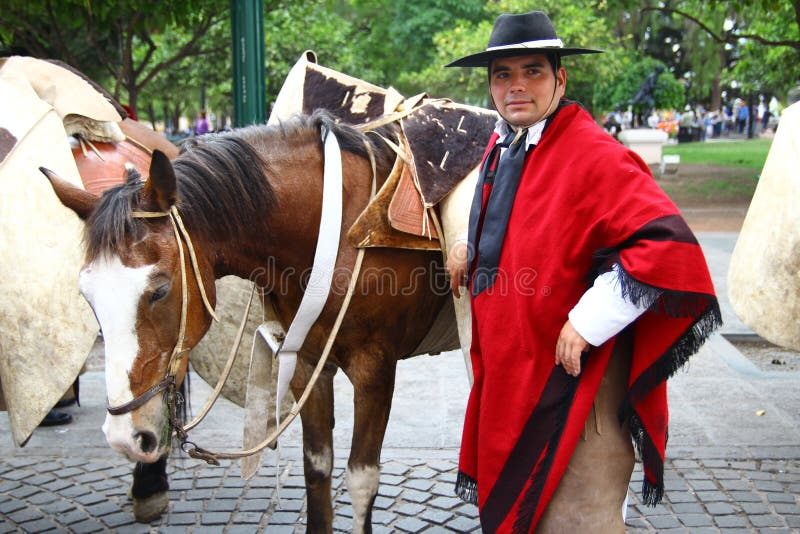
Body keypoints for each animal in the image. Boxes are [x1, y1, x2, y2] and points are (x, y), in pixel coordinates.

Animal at [45, 111, 456, 532]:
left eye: (159, 290)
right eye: (86, 295)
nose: (124, 436)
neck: (337, 222)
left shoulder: (374, 368)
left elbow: (361, 479)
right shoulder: (307, 362)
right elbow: (317, 467)